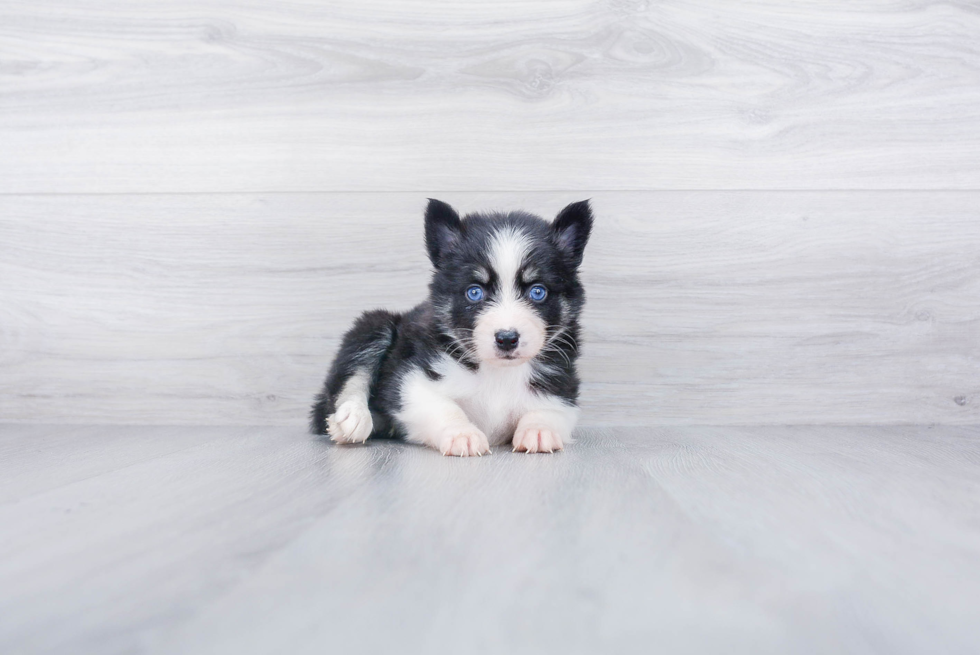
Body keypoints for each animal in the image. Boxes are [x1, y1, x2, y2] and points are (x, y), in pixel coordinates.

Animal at [310, 199, 592, 456]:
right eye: (474, 292)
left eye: (538, 291)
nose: (507, 339)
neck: (498, 371)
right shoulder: (412, 382)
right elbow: (444, 407)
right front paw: (462, 434)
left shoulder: (563, 388)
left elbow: (549, 410)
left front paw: (539, 430)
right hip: (375, 325)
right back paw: (353, 418)